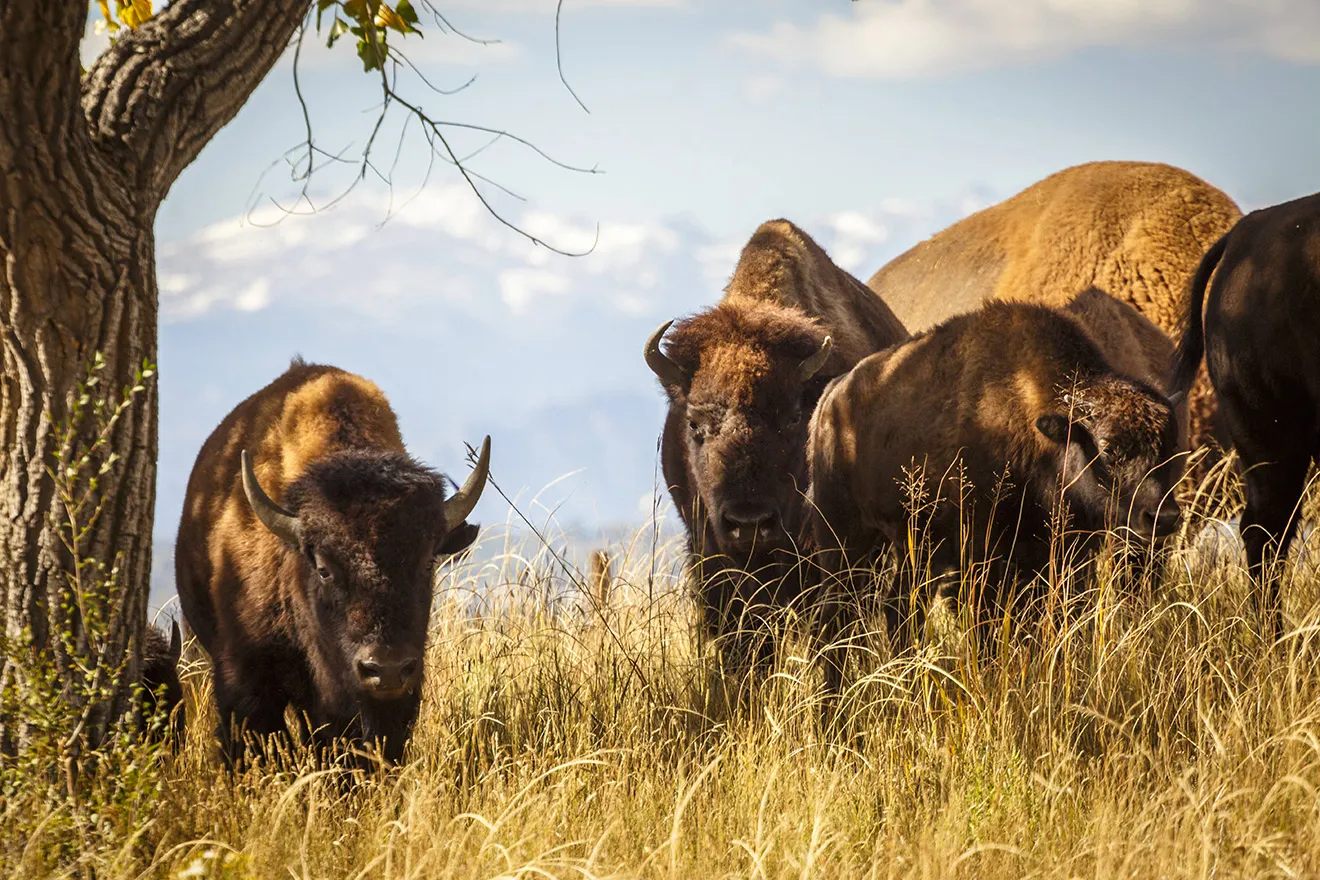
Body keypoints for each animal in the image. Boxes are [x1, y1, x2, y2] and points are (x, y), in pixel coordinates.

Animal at [807, 299, 1182, 670]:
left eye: (1169, 446)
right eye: (1108, 448)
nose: (1163, 518)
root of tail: (829, 401)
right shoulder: (981, 558)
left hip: (914, 546)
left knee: (898, 607)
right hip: (845, 540)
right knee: (837, 616)